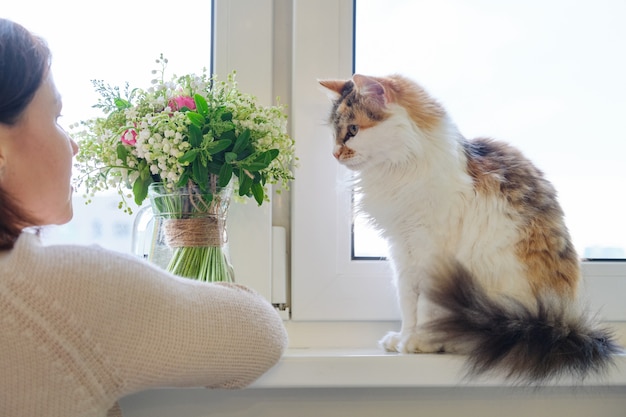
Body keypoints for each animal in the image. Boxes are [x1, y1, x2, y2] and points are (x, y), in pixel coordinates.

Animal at [320, 74, 620, 380]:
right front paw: (403, 338)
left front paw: (419, 343)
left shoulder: (432, 254)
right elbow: (408, 305)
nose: (334, 154)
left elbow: (425, 307)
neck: (398, 173)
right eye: (334, 132)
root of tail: (563, 327)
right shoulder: (403, 252)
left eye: (353, 130)